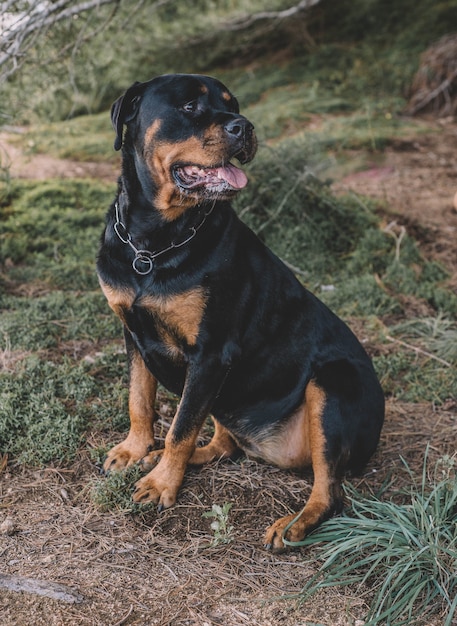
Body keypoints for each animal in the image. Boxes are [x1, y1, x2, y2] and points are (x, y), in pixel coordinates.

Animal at [97, 73, 384, 548]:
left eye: (234, 105)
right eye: (190, 106)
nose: (244, 126)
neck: (154, 244)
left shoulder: (211, 353)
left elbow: (179, 427)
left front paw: (161, 484)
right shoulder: (133, 334)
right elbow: (140, 400)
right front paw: (136, 450)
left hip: (332, 385)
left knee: (330, 492)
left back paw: (291, 524)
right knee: (225, 442)